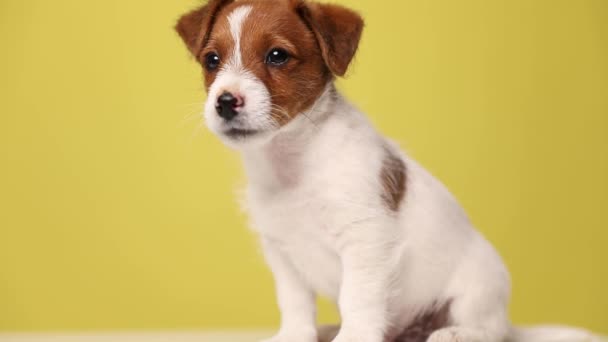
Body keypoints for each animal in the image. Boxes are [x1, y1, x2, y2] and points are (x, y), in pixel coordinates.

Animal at [176, 0, 604, 342]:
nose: (225, 101)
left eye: (278, 55)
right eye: (212, 60)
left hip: (478, 289)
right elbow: (295, 303)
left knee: (492, 330)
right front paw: (295, 336)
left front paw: (353, 337)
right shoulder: (282, 253)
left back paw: (455, 333)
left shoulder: (365, 241)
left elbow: (358, 297)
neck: (294, 160)